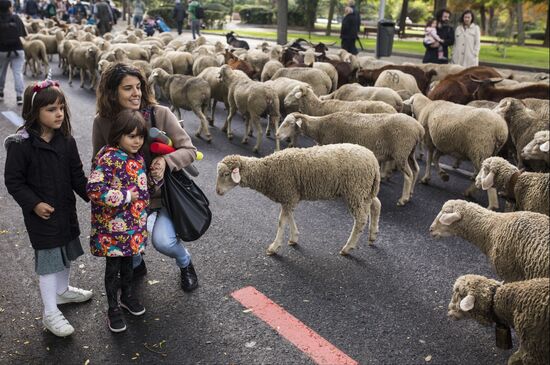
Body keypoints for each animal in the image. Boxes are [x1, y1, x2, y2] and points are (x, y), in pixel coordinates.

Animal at [217, 144, 384, 255]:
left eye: (226, 174)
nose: (217, 192)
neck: (267, 171)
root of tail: (373, 160)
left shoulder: (288, 193)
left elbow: (281, 221)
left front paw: (274, 246)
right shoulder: (290, 195)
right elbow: (289, 216)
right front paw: (294, 238)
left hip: (355, 189)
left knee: (361, 218)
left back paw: (348, 247)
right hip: (364, 190)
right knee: (376, 204)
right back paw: (373, 235)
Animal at [278, 111, 424, 205]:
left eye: (288, 123)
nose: (277, 134)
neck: (320, 127)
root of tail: (419, 128)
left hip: (401, 151)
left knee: (409, 175)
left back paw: (403, 199)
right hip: (410, 152)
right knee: (416, 170)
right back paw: (411, 194)